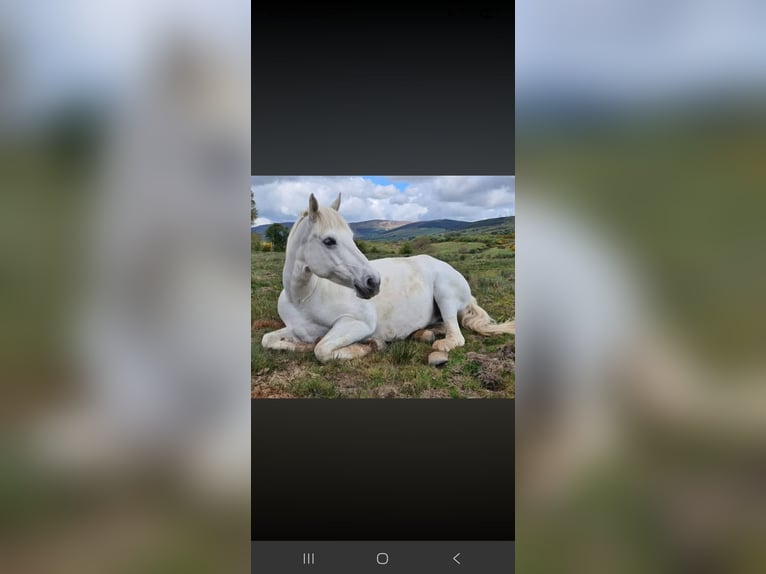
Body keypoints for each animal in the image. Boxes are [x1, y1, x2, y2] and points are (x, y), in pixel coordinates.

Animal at [261, 193, 514, 363]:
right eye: (329, 241)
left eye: (351, 237)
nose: (373, 282)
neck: (303, 299)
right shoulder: (295, 330)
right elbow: (268, 340)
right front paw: (300, 347)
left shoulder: (358, 323)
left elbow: (321, 350)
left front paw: (367, 347)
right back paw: (424, 332)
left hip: (444, 294)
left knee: (456, 335)